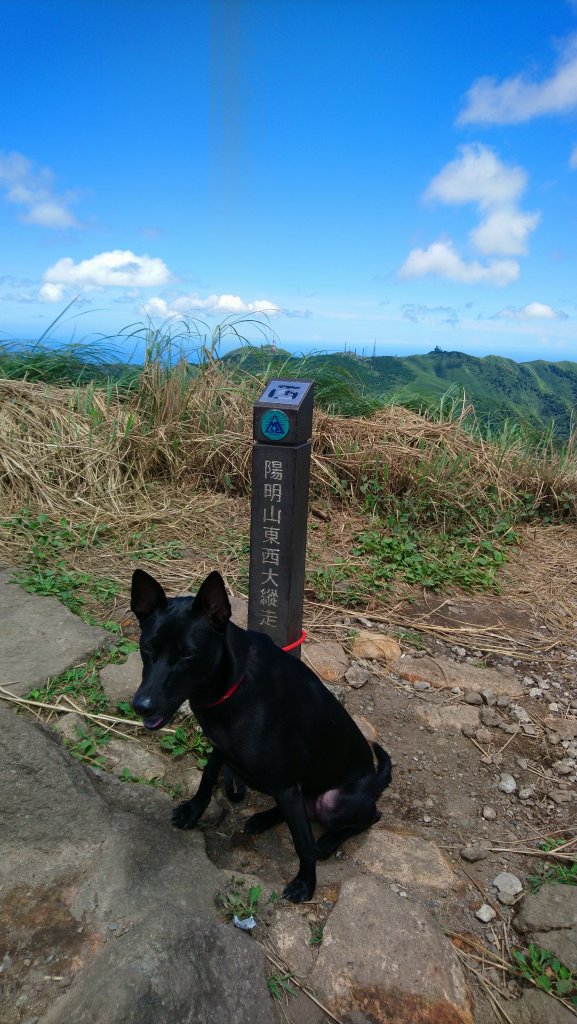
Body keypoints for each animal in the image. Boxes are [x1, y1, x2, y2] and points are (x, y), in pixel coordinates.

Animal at [131, 569, 393, 905]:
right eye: (147, 648)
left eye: (187, 654)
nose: (141, 706)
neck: (231, 687)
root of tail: (373, 784)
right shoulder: (223, 749)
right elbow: (207, 777)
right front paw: (193, 810)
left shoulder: (285, 784)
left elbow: (302, 843)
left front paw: (306, 883)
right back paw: (264, 818)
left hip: (333, 803)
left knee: (368, 818)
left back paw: (326, 842)